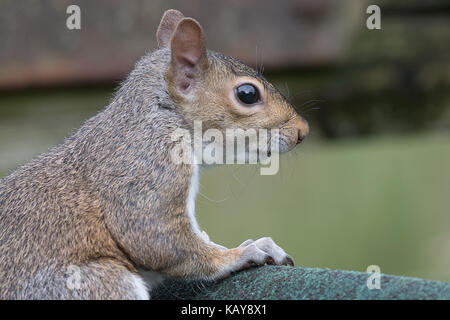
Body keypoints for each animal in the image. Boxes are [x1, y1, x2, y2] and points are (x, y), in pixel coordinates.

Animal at [0, 10, 310, 300]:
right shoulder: (147, 169)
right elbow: (159, 239)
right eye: (247, 94)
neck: (162, 117)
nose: (302, 130)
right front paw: (241, 253)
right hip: (94, 282)